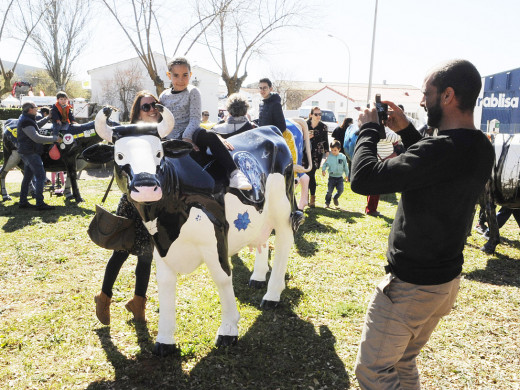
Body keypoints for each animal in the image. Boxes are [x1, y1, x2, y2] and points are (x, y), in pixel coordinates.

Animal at [82, 106, 300, 356]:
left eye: (159, 154)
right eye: (119, 156)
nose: (146, 187)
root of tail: (270, 129)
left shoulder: (216, 234)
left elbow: (223, 278)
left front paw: (228, 330)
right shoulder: (160, 244)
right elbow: (165, 283)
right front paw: (164, 340)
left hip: (283, 208)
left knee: (284, 244)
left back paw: (272, 294)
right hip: (260, 213)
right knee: (262, 239)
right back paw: (257, 277)